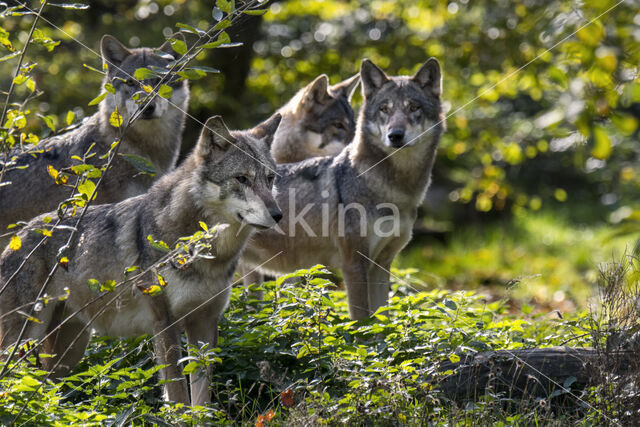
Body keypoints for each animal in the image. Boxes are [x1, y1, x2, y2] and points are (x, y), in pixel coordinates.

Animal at [0, 114, 282, 408]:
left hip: (68, 352)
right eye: (242, 178)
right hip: (24, 342)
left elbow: (201, 397)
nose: (278, 215)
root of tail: (17, 236)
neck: (207, 254)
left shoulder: (205, 322)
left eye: (270, 178)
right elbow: (177, 392)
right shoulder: (164, 322)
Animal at [241, 56, 444, 320]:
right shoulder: (353, 264)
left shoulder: (381, 266)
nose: (395, 135)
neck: (396, 191)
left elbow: (383, 319)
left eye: (413, 108)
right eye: (385, 109)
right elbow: (362, 320)